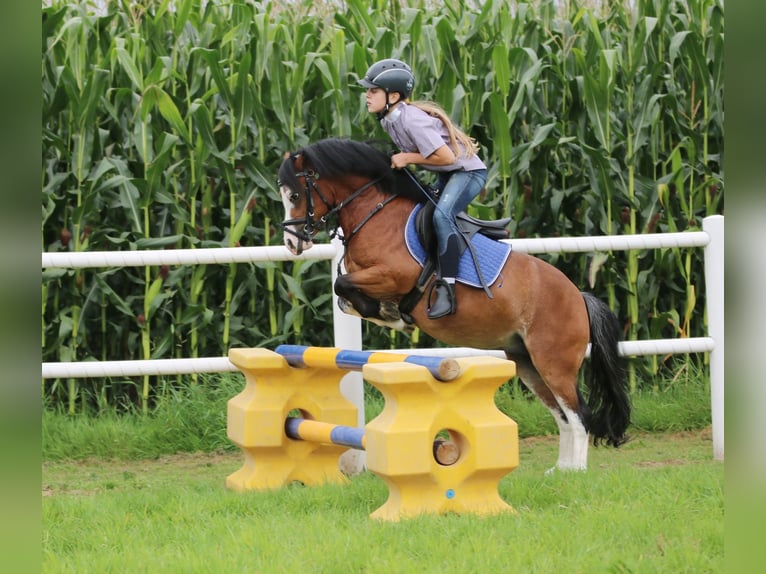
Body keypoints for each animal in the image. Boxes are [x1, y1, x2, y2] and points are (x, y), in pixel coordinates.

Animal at [277, 137, 630, 472]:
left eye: (294, 196)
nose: (293, 243)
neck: (374, 213)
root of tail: (578, 297)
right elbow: (343, 296)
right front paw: (386, 312)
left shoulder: (393, 275)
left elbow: (343, 285)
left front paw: (392, 314)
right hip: (526, 361)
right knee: (562, 415)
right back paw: (561, 469)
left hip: (554, 361)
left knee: (578, 413)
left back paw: (576, 472)